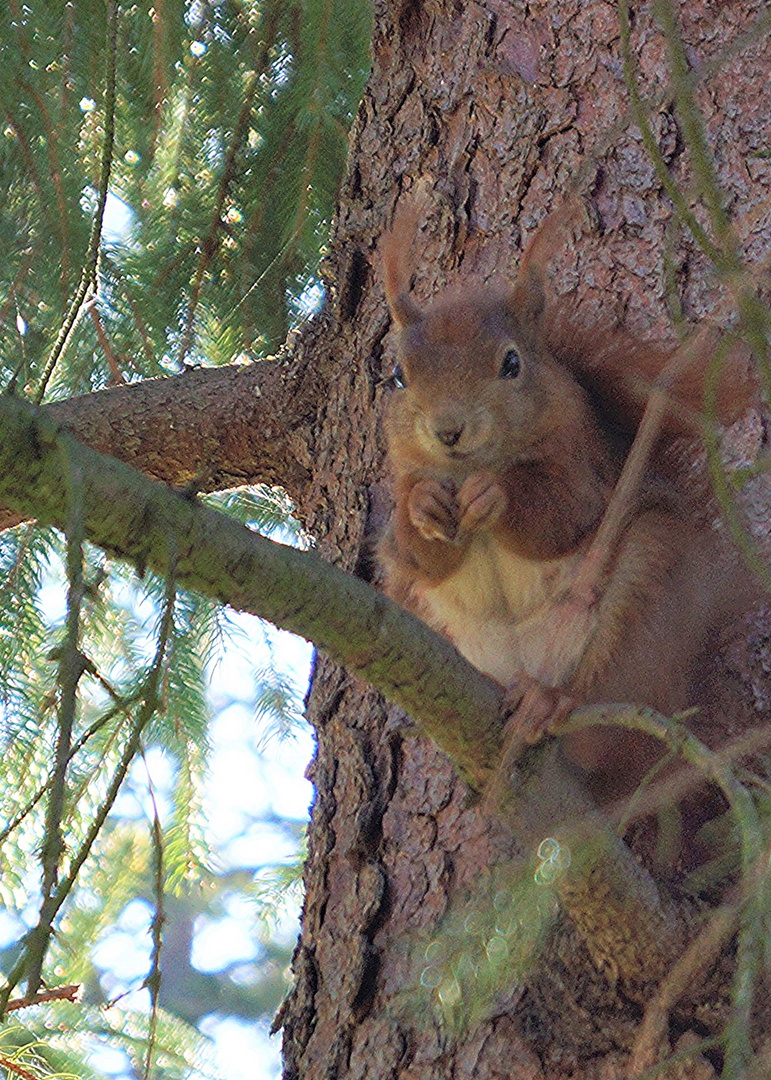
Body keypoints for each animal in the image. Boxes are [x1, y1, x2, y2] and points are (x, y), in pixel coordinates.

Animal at [377, 210, 755, 807]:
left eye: (511, 363)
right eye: (397, 375)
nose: (448, 430)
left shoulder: (584, 475)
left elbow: (558, 516)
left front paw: (496, 492)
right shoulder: (403, 527)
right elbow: (420, 554)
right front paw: (422, 504)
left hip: (645, 596)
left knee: (598, 697)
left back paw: (548, 703)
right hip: (420, 616)